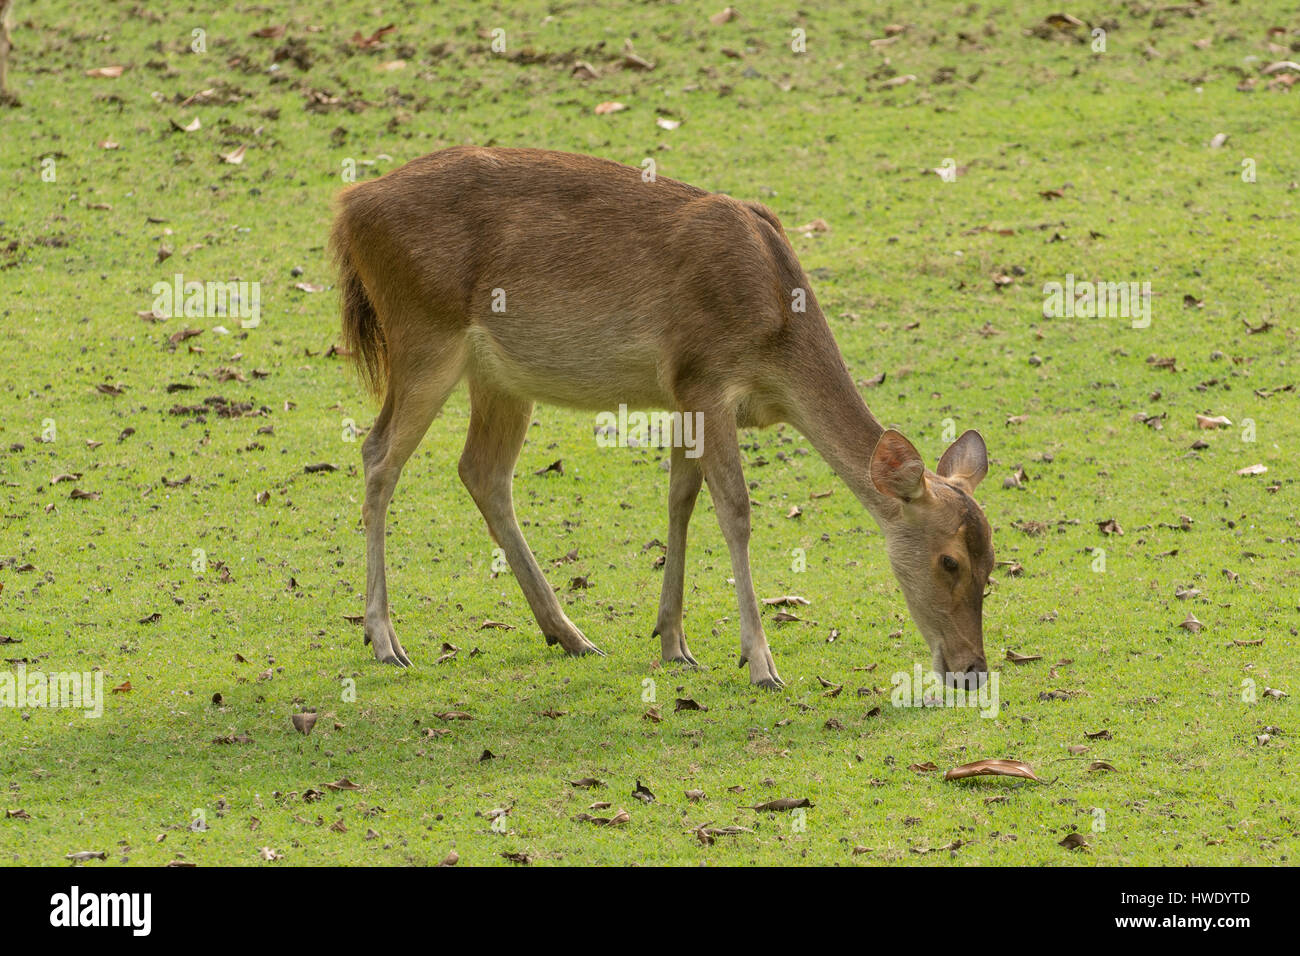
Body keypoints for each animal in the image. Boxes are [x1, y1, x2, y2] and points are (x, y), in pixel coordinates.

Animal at [327, 145, 993, 686]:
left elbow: (681, 499)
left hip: (499, 377)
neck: (776, 333)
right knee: (378, 455)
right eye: (949, 560)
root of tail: (349, 209)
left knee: (481, 471)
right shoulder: (705, 377)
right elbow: (735, 510)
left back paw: (569, 634)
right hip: (423, 335)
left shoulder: (681, 397)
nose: (972, 671)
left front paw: (675, 643)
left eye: (992, 564)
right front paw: (760, 661)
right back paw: (384, 639)